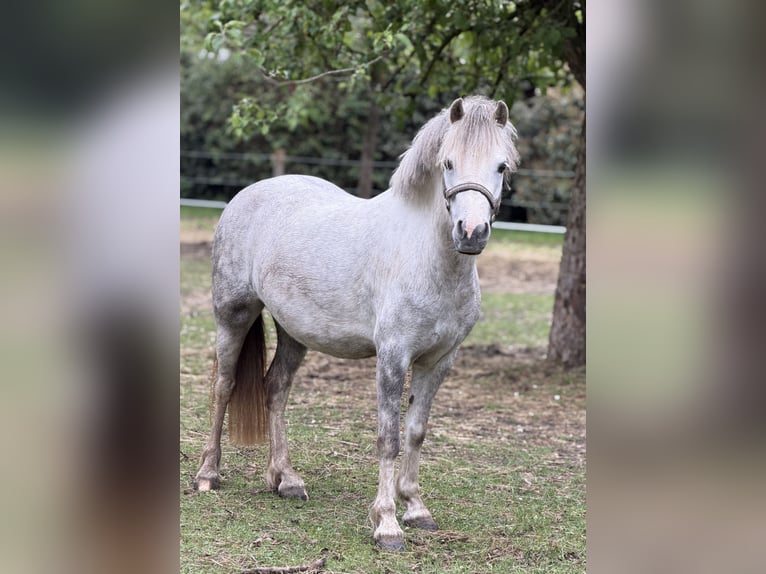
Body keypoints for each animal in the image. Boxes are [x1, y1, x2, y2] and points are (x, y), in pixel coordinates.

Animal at [194, 96, 519, 550]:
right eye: (448, 162)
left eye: (501, 166)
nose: (471, 232)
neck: (427, 259)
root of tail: (248, 194)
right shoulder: (392, 356)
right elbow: (388, 437)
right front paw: (387, 524)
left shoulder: (439, 361)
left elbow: (416, 430)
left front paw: (416, 508)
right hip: (233, 315)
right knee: (224, 386)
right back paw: (208, 474)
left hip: (294, 331)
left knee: (275, 388)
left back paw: (286, 479)